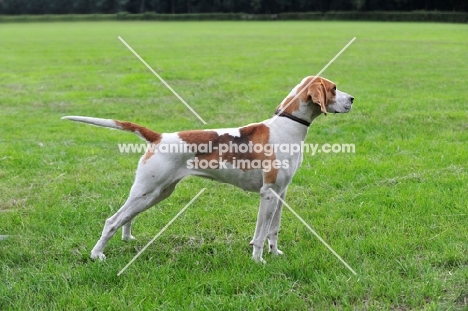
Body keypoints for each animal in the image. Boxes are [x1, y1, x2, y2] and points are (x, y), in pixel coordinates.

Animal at [63, 75, 354, 264]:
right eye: (334, 88)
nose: (352, 98)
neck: (288, 125)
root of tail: (159, 137)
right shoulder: (268, 193)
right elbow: (260, 234)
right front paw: (258, 260)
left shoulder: (281, 193)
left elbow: (274, 230)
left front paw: (275, 254)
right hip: (147, 191)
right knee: (112, 221)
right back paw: (97, 255)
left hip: (156, 193)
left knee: (126, 218)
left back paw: (126, 239)